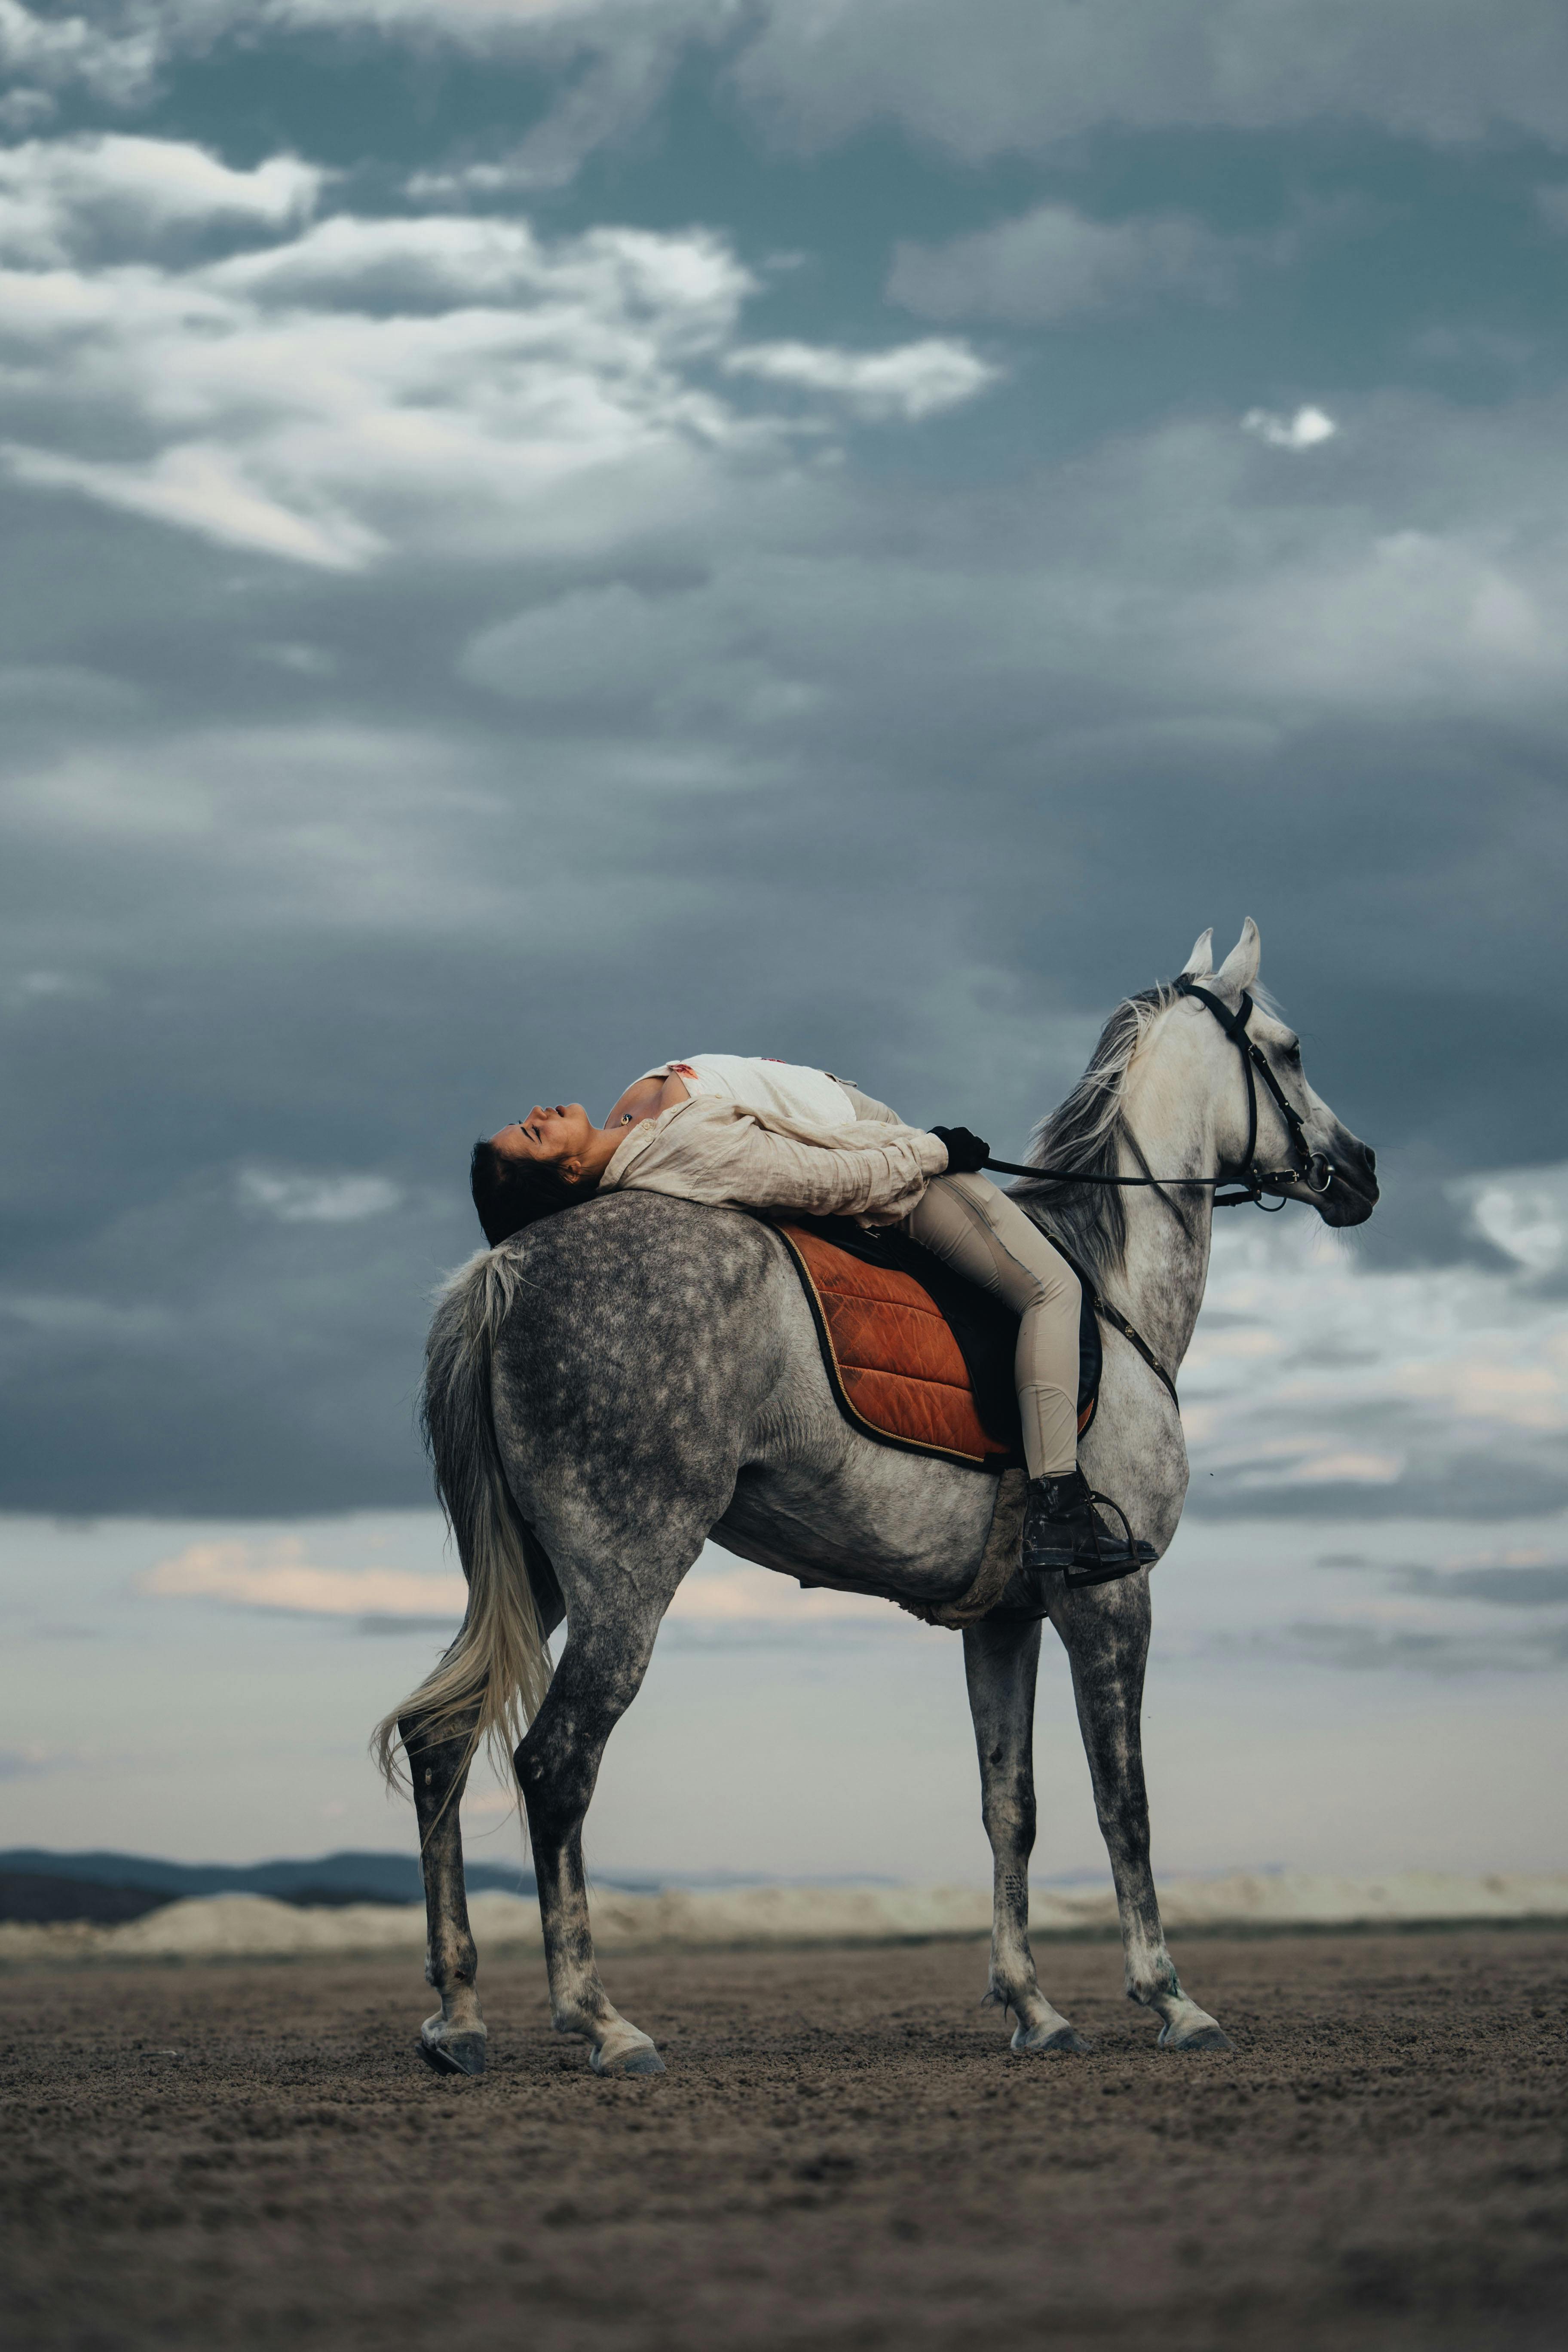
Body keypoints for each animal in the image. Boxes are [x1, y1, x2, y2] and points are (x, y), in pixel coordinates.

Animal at [377, 918, 1378, 2077]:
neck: (1112, 1294)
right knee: (554, 1765)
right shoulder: (1110, 1600)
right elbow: (1122, 1799)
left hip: (533, 1572)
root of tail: (504, 1268)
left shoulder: (1005, 1617)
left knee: (440, 1739)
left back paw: (457, 2016)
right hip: (628, 1574)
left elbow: (1011, 1805)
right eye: (1291, 1049)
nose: (1361, 1172)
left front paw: (1035, 2008)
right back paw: (601, 2021)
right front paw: (1172, 1999)